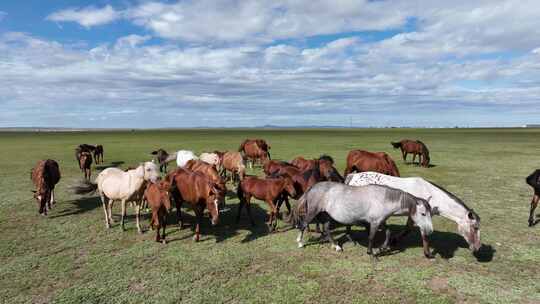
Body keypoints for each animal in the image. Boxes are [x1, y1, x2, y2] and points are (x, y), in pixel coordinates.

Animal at [292, 182, 434, 258]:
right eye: (423, 214)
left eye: (430, 213)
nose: (430, 231)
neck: (383, 199)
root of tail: (313, 187)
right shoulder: (374, 222)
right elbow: (371, 237)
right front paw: (371, 252)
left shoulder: (381, 221)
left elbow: (388, 233)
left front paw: (382, 248)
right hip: (313, 211)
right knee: (303, 225)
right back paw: (299, 243)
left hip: (326, 214)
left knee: (326, 229)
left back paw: (336, 246)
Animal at [346, 172, 480, 253]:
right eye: (475, 227)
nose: (478, 248)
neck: (431, 195)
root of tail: (353, 176)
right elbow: (421, 233)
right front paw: (428, 253)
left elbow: (408, 229)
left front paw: (392, 241)